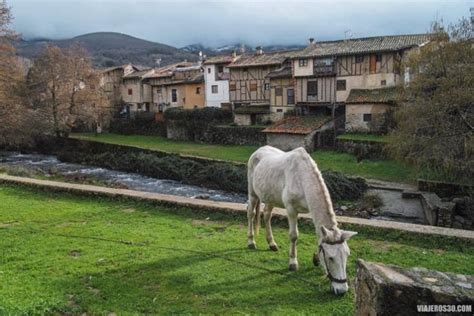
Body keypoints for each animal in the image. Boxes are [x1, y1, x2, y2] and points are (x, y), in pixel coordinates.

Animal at [248, 147, 356, 296]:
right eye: (330, 258)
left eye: (347, 255)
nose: (342, 290)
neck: (302, 178)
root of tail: (257, 151)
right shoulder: (291, 210)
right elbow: (294, 236)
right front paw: (293, 263)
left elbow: (319, 235)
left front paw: (316, 259)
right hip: (252, 193)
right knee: (251, 213)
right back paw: (251, 242)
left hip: (271, 197)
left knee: (267, 215)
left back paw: (272, 243)